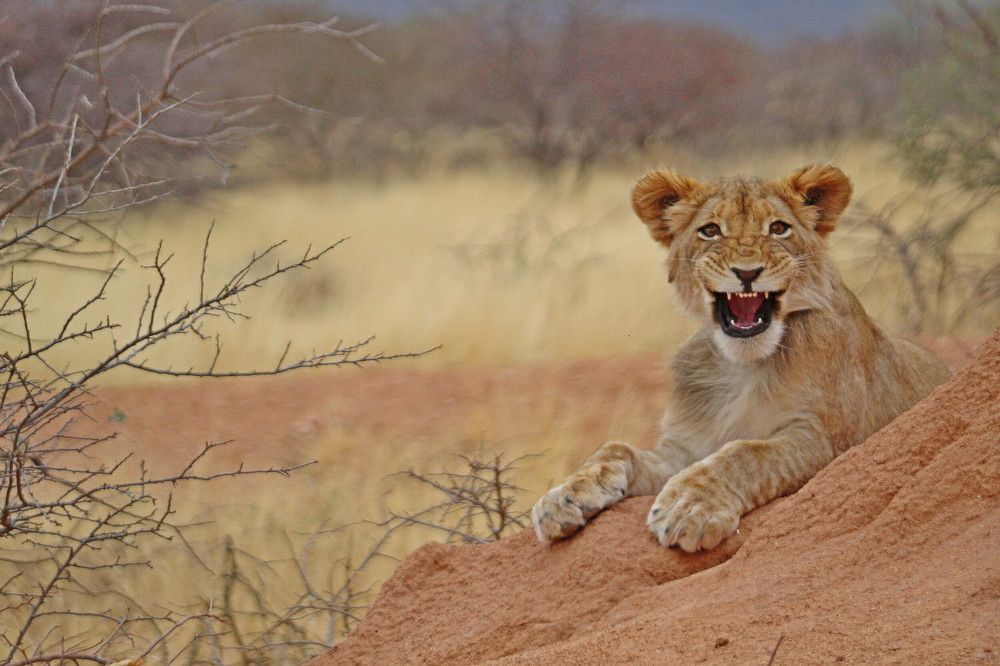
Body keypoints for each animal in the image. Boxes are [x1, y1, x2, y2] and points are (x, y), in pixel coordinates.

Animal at [532, 164, 951, 552]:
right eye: (710, 231)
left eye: (779, 228)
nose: (747, 273)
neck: (744, 366)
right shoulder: (685, 447)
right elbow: (616, 448)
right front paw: (562, 497)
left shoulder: (829, 439)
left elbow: (747, 452)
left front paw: (688, 508)